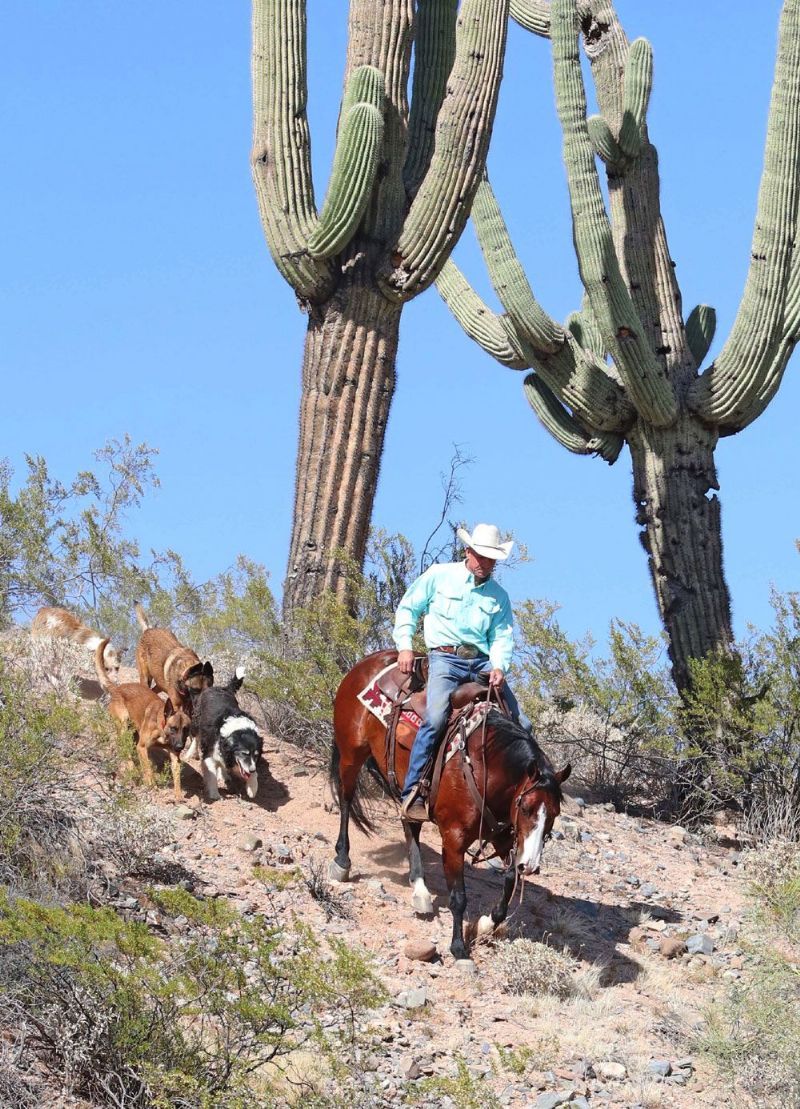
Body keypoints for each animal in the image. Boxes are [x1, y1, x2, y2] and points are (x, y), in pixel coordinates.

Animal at [328, 649, 571, 960]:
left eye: (554, 814)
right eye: (526, 808)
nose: (531, 865)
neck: (484, 764)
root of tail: (368, 662)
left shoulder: (503, 837)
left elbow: (508, 879)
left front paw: (486, 923)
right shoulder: (453, 839)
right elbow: (458, 896)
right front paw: (458, 947)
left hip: (405, 787)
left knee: (409, 823)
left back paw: (419, 890)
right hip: (351, 754)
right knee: (346, 801)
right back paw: (342, 861)